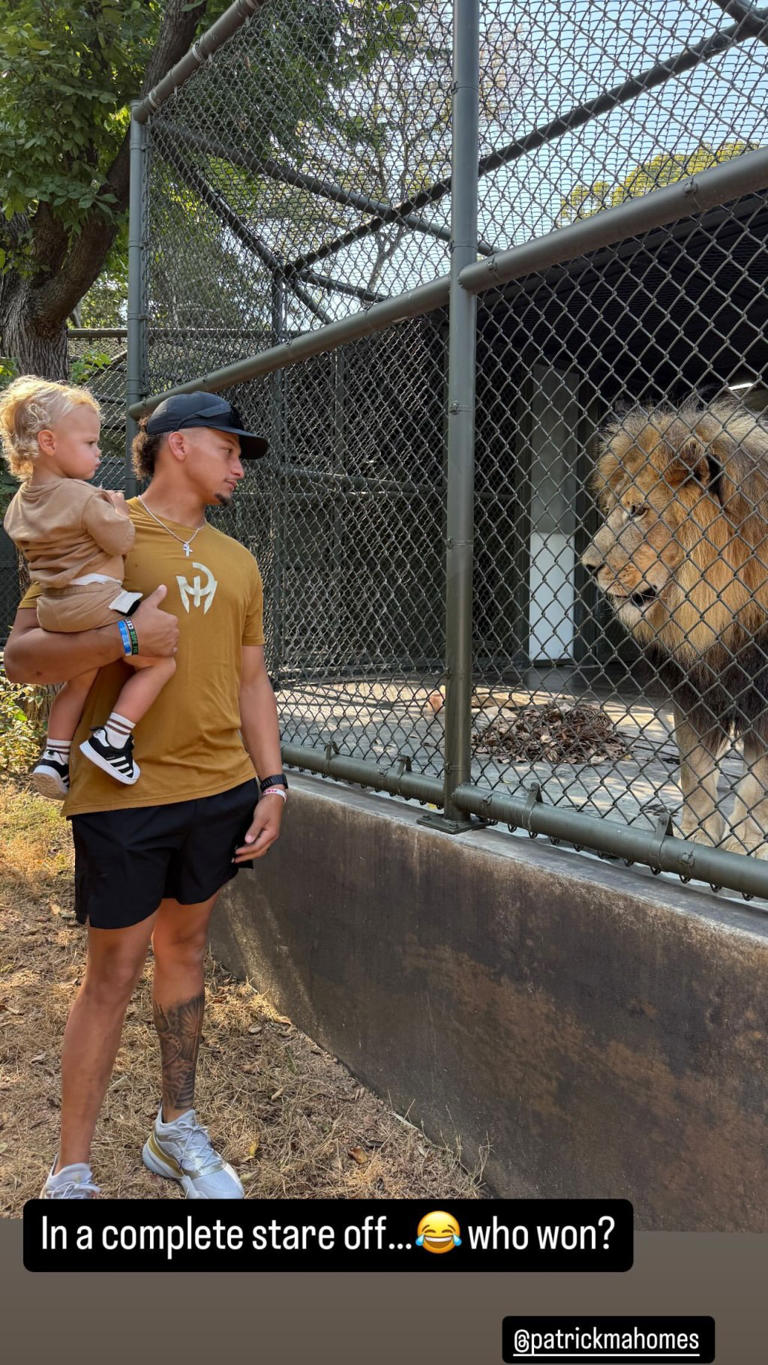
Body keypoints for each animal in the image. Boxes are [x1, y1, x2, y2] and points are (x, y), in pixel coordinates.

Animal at [583, 398, 768, 857]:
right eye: (615, 507)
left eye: (637, 510)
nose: (588, 566)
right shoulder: (692, 688)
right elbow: (695, 772)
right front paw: (698, 838)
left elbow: (756, 784)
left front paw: (743, 847)